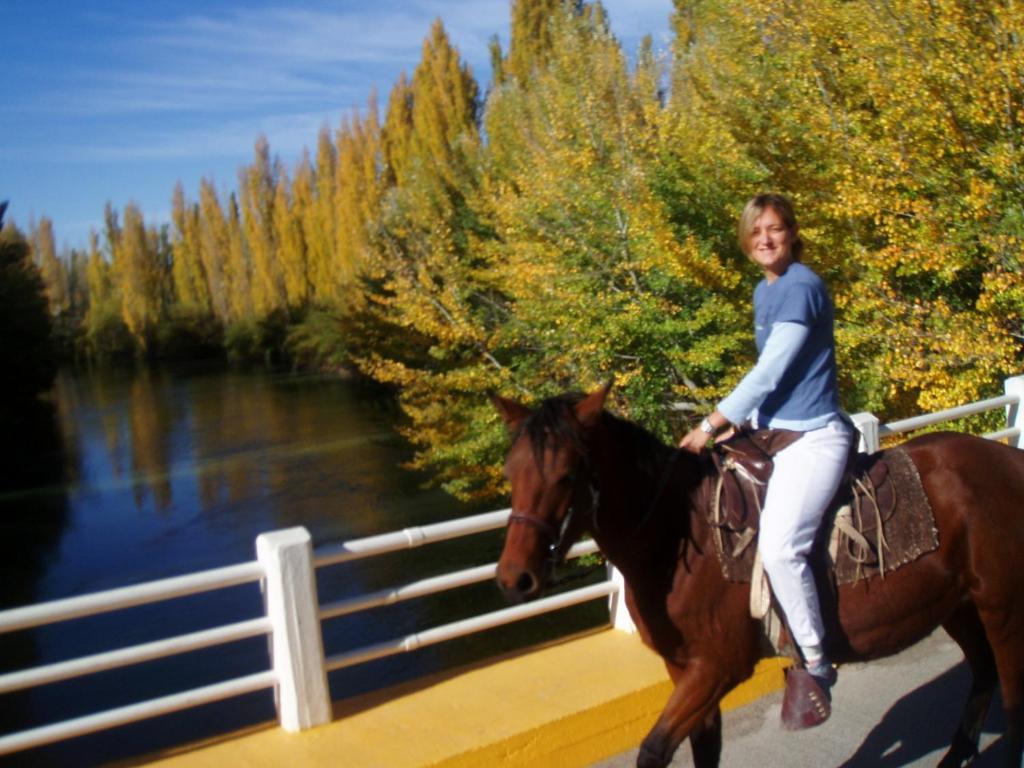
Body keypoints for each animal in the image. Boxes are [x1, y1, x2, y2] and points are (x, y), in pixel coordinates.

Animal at [491, 385, 1019, 768]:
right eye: (512, 471)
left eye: (567, 474)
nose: (514, 578)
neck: (677, 535)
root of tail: (1008, 461)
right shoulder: (685, 669)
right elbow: (705, 749)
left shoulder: (716, 668)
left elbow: (654, 750)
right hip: (958, 606)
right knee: (983, 674)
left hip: (1002, 608)